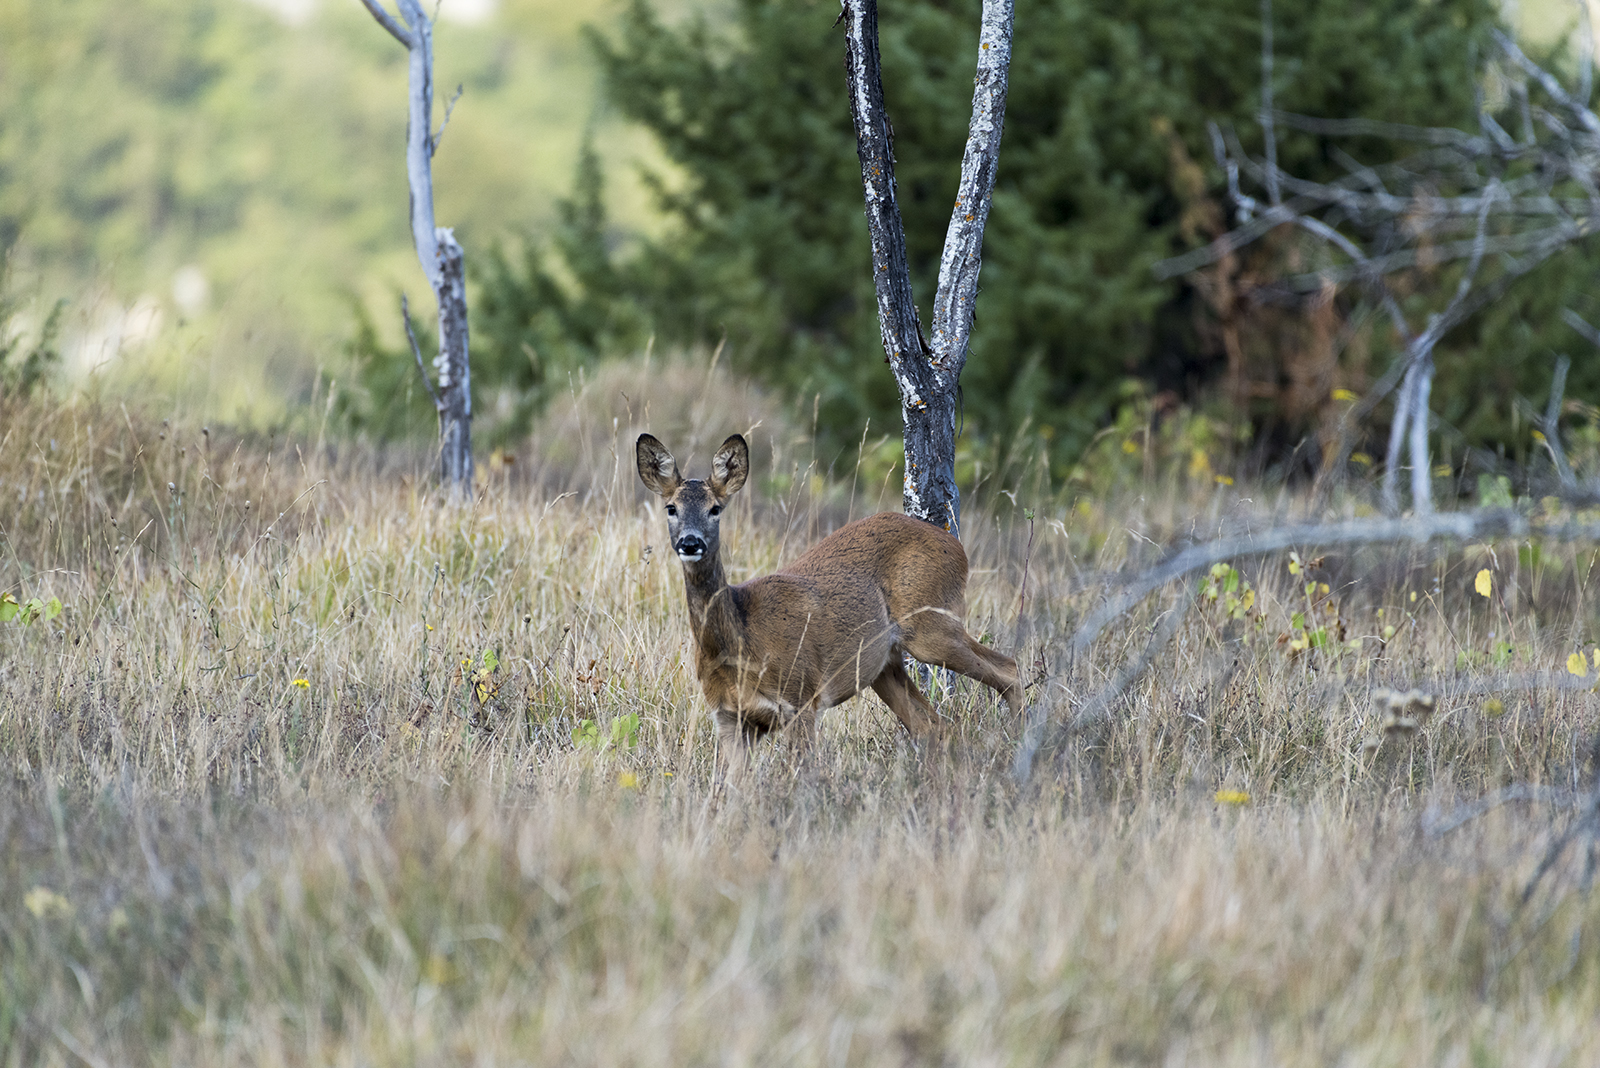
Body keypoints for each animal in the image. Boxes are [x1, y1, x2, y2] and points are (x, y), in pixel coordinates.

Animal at [636, 432, 1023, 776]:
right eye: (671, 508)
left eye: (715, 509)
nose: (690, 542)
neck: (741, 642)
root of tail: (956, 546)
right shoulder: (729, 717)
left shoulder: (801, 698)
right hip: (885, 665)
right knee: (932, 726)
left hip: (932, 626)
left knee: (1009, 669)